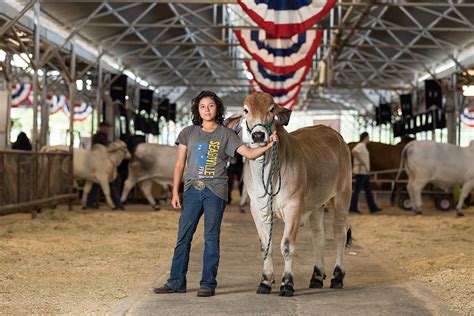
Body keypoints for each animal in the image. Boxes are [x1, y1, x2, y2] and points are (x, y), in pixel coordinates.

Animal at [226, 91, 352, 296]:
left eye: (271, 109)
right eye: (246, 110)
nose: (258, 135)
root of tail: (336, 135)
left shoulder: (293, 206)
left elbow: (286, 246)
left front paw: (287, 284)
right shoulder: (257, 209)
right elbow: (265, 246)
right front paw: (265, 281)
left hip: (342, 194)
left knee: (340, 233)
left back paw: (337, 276)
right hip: (317, 204)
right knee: (319, 237)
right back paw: (317, 277)